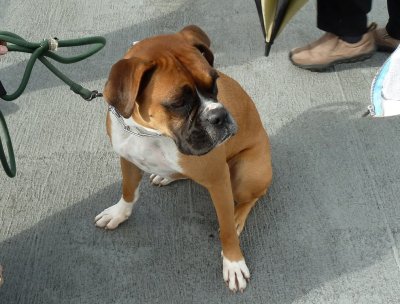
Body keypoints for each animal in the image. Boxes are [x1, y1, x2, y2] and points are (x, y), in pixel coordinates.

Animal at [95, 26, 274, 292]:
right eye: (178, 103)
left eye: (214, 83)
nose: (219, 116)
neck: (152, 134)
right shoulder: (127, 159)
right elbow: (128, 190)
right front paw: (119, 213)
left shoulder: (219, 180)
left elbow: (226, 231)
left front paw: (233, 262)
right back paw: (166, 176)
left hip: (246, 173)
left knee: (252, 197)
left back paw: (237, 217)